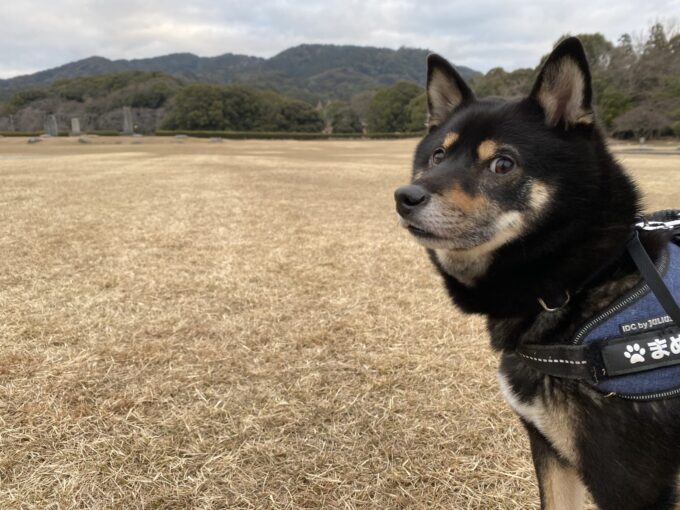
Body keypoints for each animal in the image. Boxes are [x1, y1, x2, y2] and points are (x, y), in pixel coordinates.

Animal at [394, 37, 680, 509]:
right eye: (437, 155)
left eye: (503, 164)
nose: (405, 196)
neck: (583, 284)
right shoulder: (549, 448)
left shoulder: (631, 481)